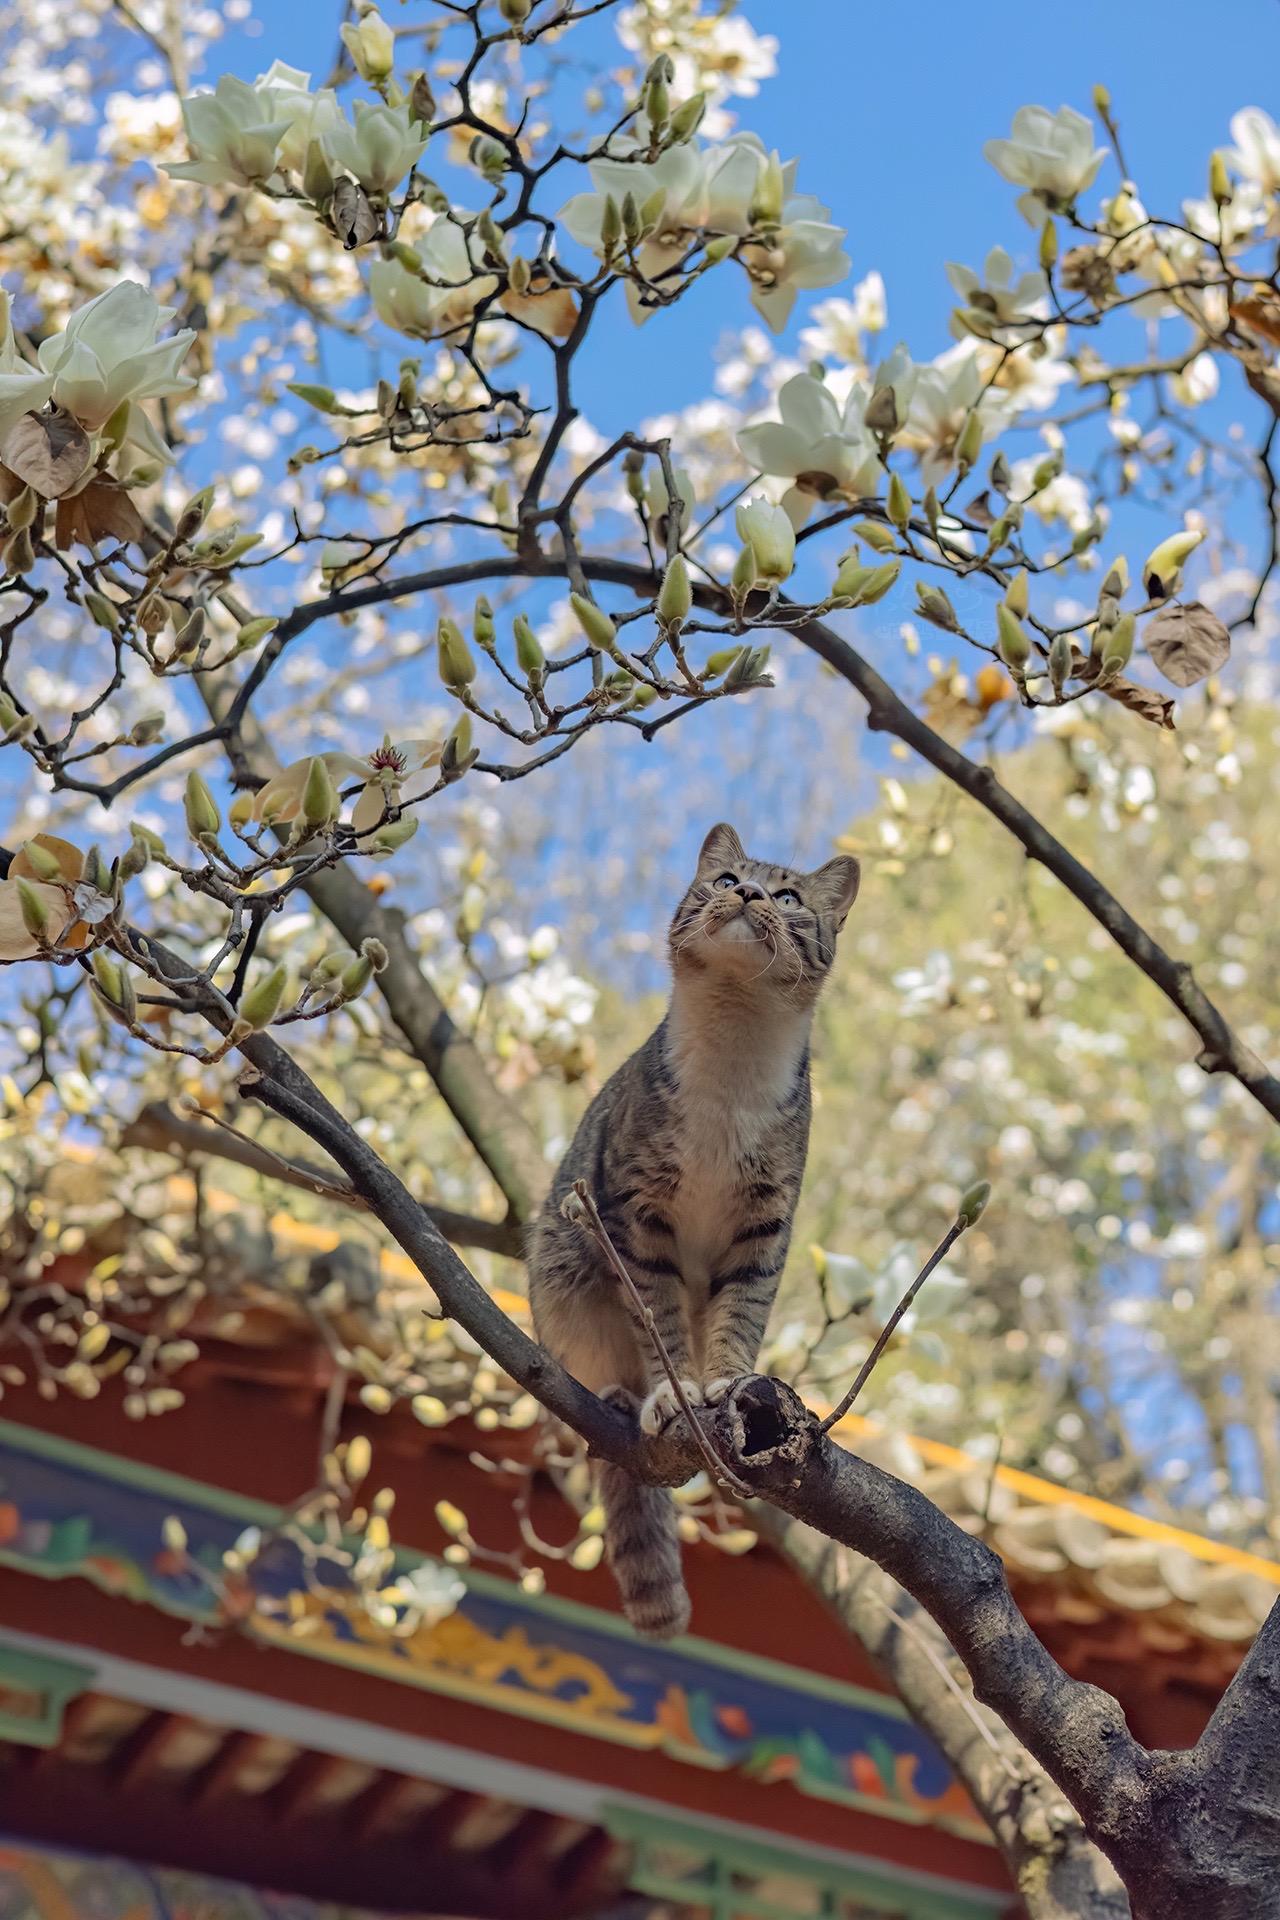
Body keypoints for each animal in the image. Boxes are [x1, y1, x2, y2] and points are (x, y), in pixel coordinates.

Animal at [529, 821, 859, 1635]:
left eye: (787, 896)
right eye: (726, 880)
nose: (748, 894)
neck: (734, 1052)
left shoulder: (765, 1224)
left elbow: (740, 1314)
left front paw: (725, 1380)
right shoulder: (636, 1217)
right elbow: (661, 1325)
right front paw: (670, 1392)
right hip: (565, 1271)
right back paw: (618, 1396)